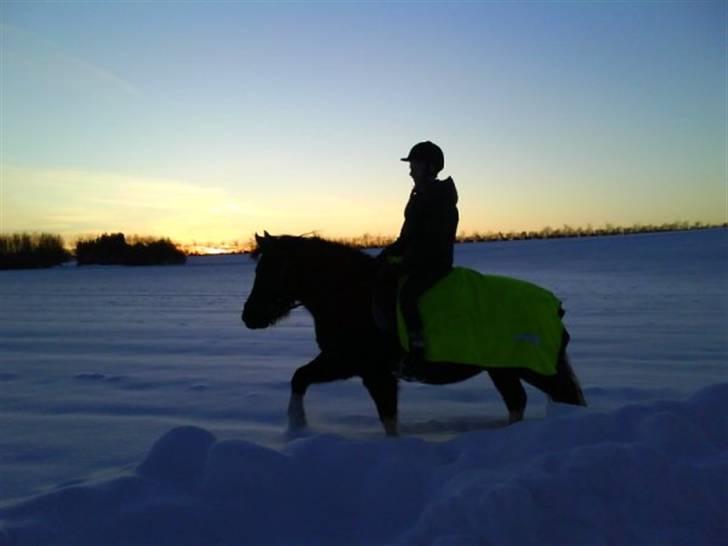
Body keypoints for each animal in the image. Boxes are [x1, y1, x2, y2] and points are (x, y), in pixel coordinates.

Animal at [242, 232, 588, 436]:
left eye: (270, 270)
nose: (248, 316)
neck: (352, 293)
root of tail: (555, 306)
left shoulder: (370, 371)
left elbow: (388, 418)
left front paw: (297, 426)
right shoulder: (347, 363)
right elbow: (300, 377)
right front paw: (296, 429)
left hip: (535, 369)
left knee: (565, 398)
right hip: (503, 370)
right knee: (519, 401)